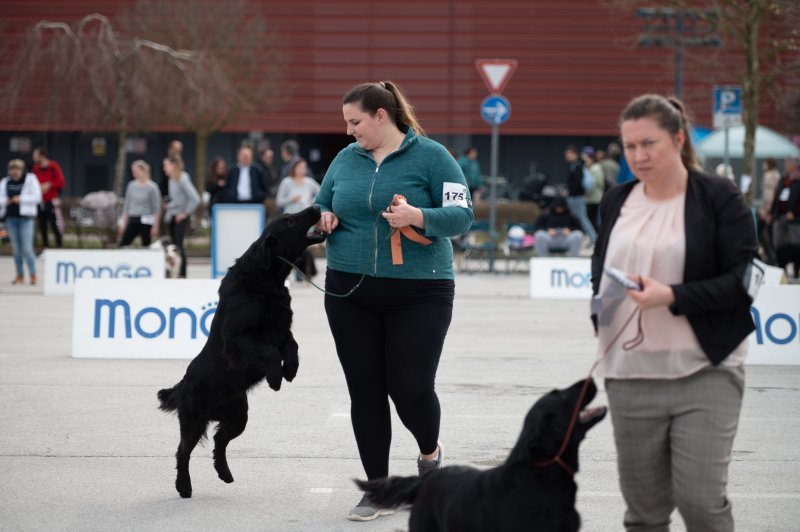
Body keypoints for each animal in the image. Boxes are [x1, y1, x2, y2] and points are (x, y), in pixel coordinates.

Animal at [158, 205, 324, 498]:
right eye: (290, 221)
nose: (316, 207)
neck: (266, 279)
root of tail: (183, 383)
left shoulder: (282, 328)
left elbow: (292, 345)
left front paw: (291, 370)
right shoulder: (237, 338)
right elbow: (270, 352)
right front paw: (276, 379)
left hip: (238, 416)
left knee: (219, 440)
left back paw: (224, 473)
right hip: (193, 420)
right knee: (183, 451)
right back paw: (184, 486)